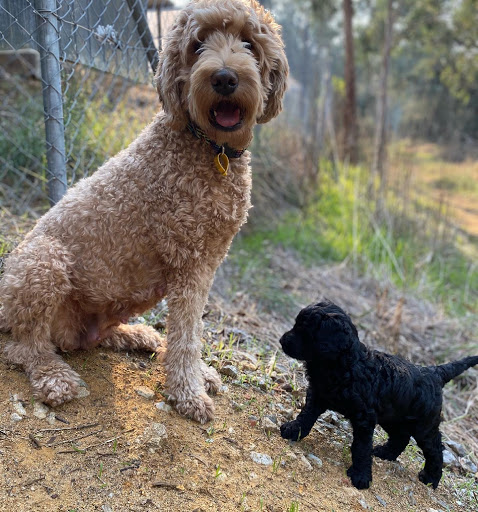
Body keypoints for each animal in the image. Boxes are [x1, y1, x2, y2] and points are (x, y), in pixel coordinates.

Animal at [280, 302, 478, 490]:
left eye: (305, 330)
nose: (282, 341)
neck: (345, 364)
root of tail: (434, 372)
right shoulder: (317, 395)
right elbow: (306, 416)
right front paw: (293, 430)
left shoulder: (364, 418)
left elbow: (361, 447)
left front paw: (361, 475)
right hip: (394, 418)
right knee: (401, 437)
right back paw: (385, 453)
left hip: (424, 426)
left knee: (435, 449)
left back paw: (431, 479)